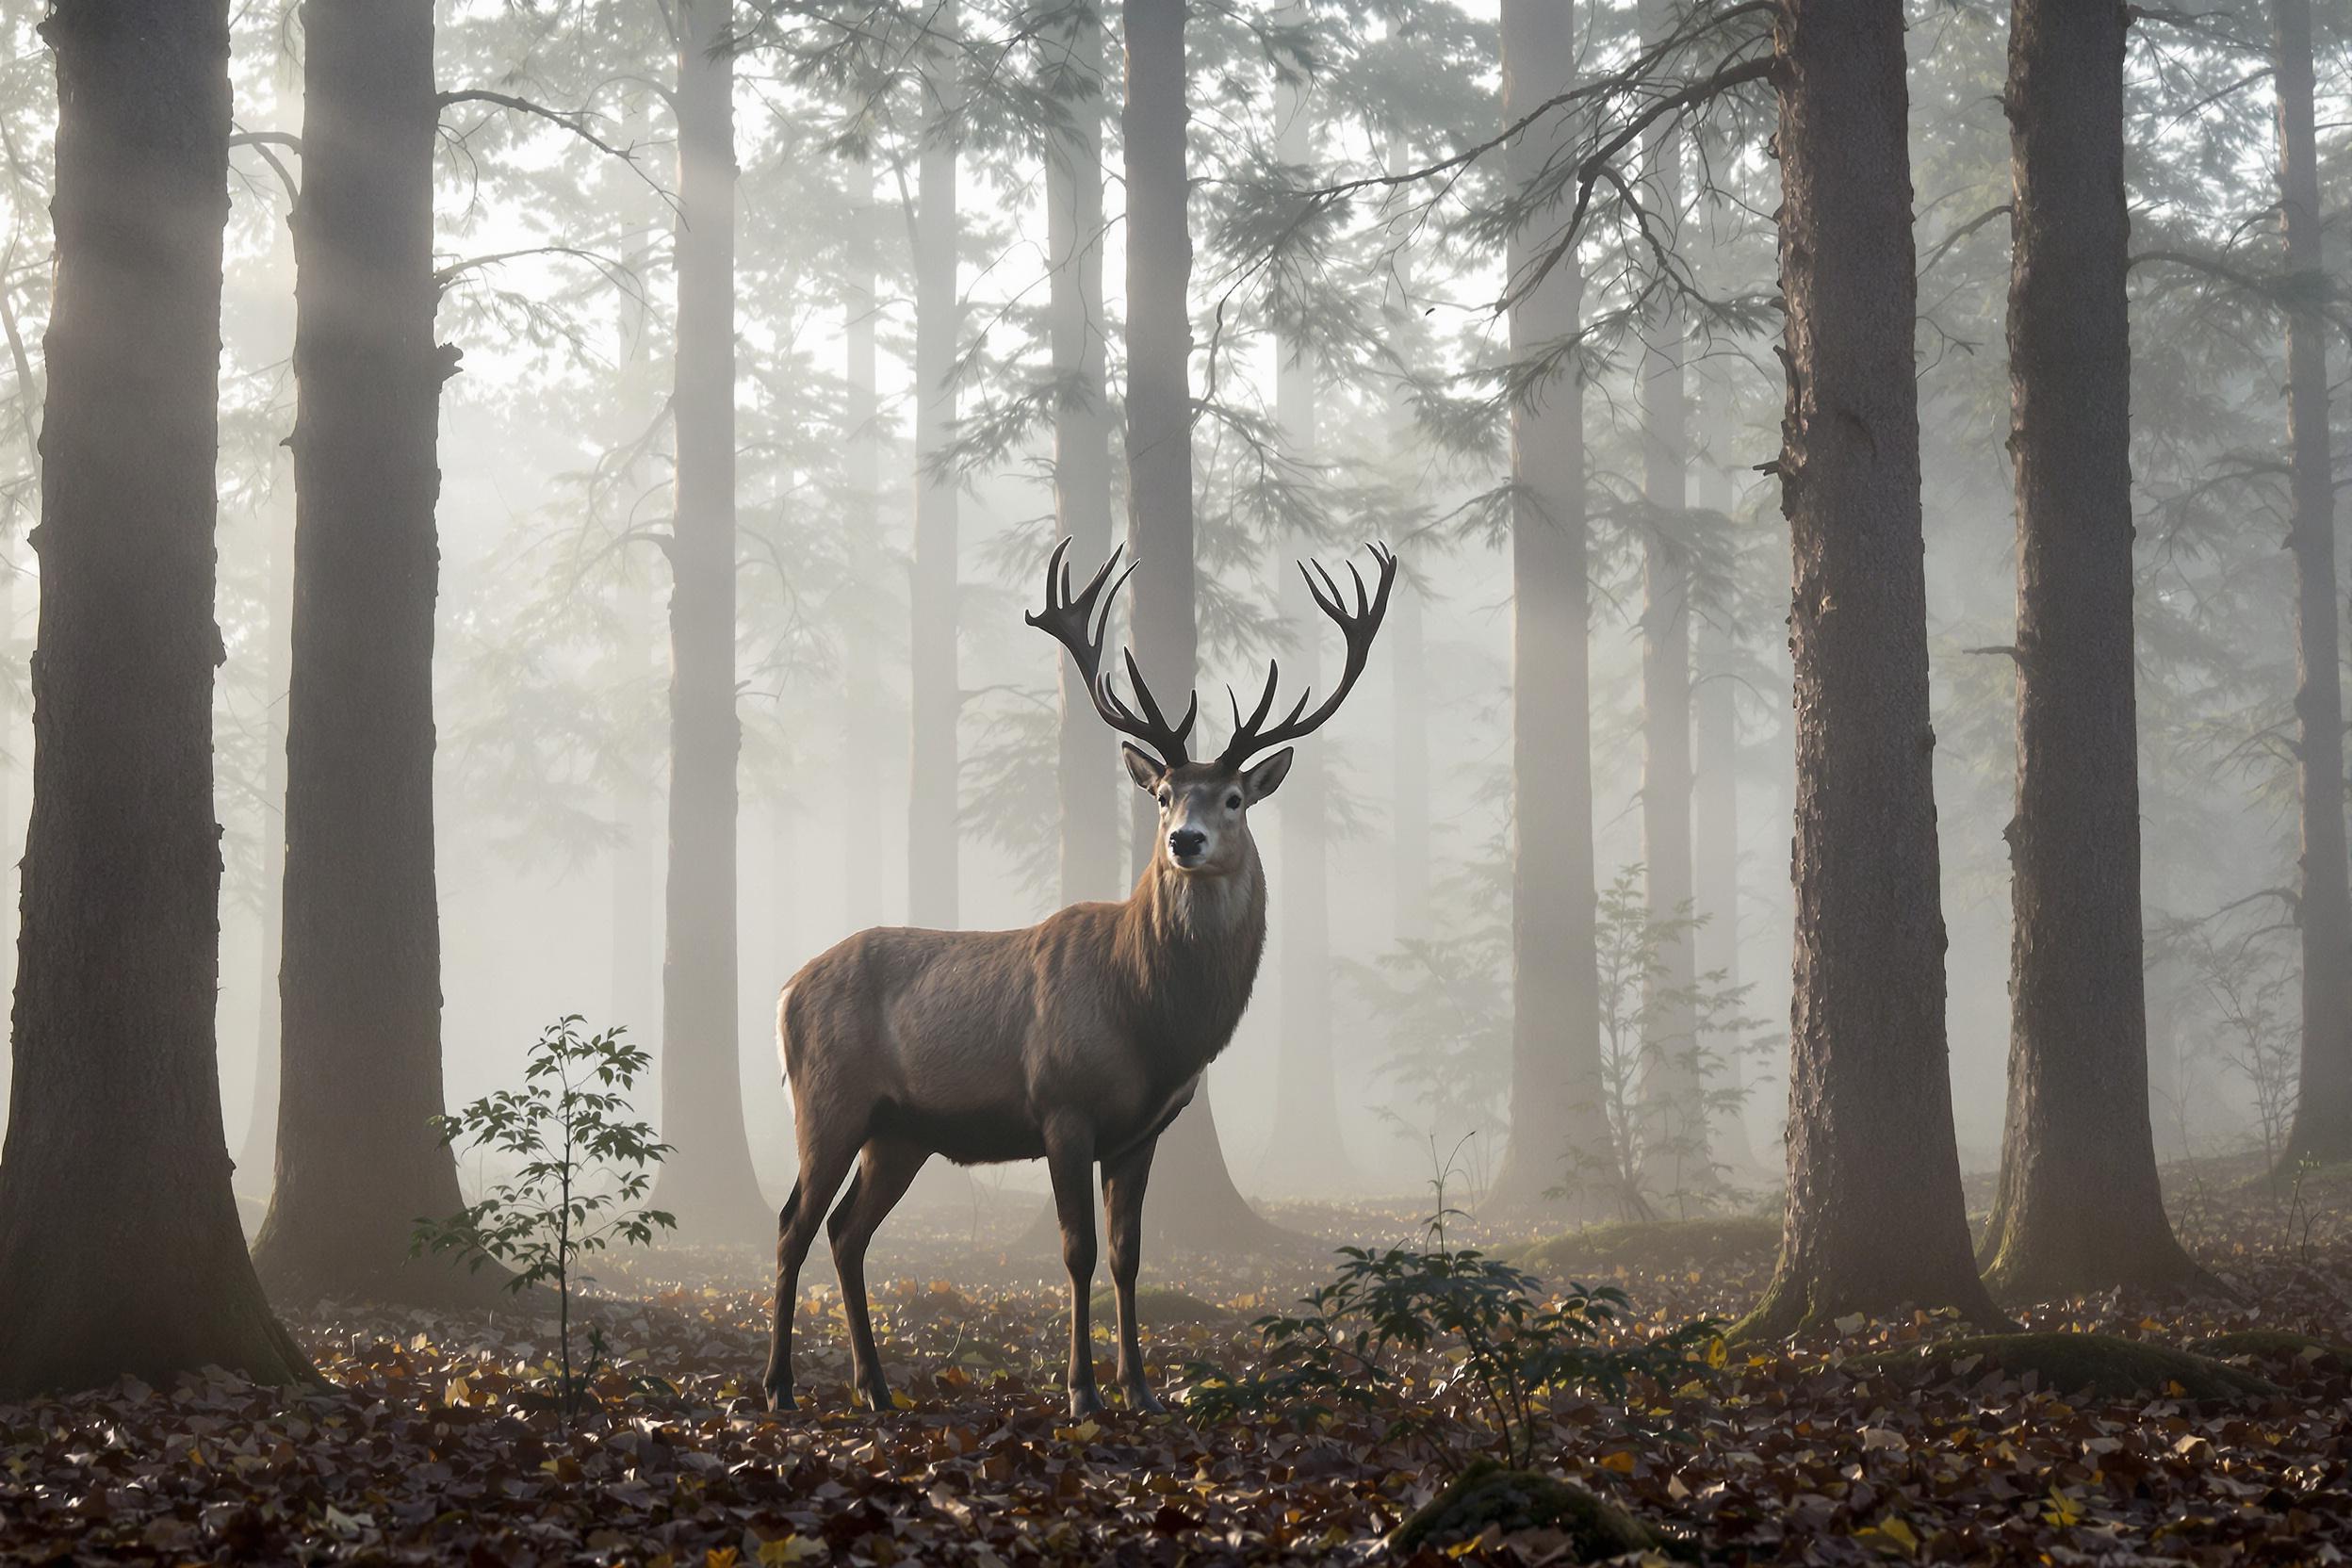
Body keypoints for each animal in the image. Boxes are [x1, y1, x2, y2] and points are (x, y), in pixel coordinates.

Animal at [766, 540, 1392, 1419]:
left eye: (1234, 797)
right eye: (1164, 794)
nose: (1186, 842)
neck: (1151, 1021)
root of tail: (784, 991)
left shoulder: (1143, 1129)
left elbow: (1130, 1254)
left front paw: (1142, 1388)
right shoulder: (1062, 1103)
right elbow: (1077, 1251)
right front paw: (1082, 1392)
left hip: (900, 1131)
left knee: (847, 1230)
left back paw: (876, 1389)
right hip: (828, 1097)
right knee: (794, 1221)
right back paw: (781, 1388)